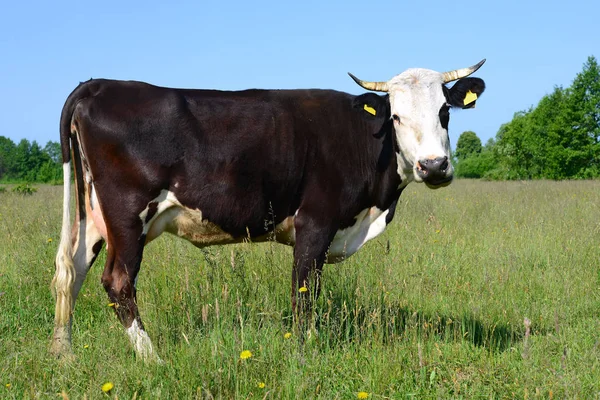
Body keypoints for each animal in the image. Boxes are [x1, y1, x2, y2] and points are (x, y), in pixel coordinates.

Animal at [49, 59, 486, 362]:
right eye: (395, 116)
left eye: (445, 112)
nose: (434, 166)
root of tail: (99, 85)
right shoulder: (315, 223)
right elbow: (304, 294)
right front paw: (305, 353)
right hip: (127, 214)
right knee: (117, 281)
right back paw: (152, 358)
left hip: (95, 216)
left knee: (71, 270)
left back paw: (62, 353)